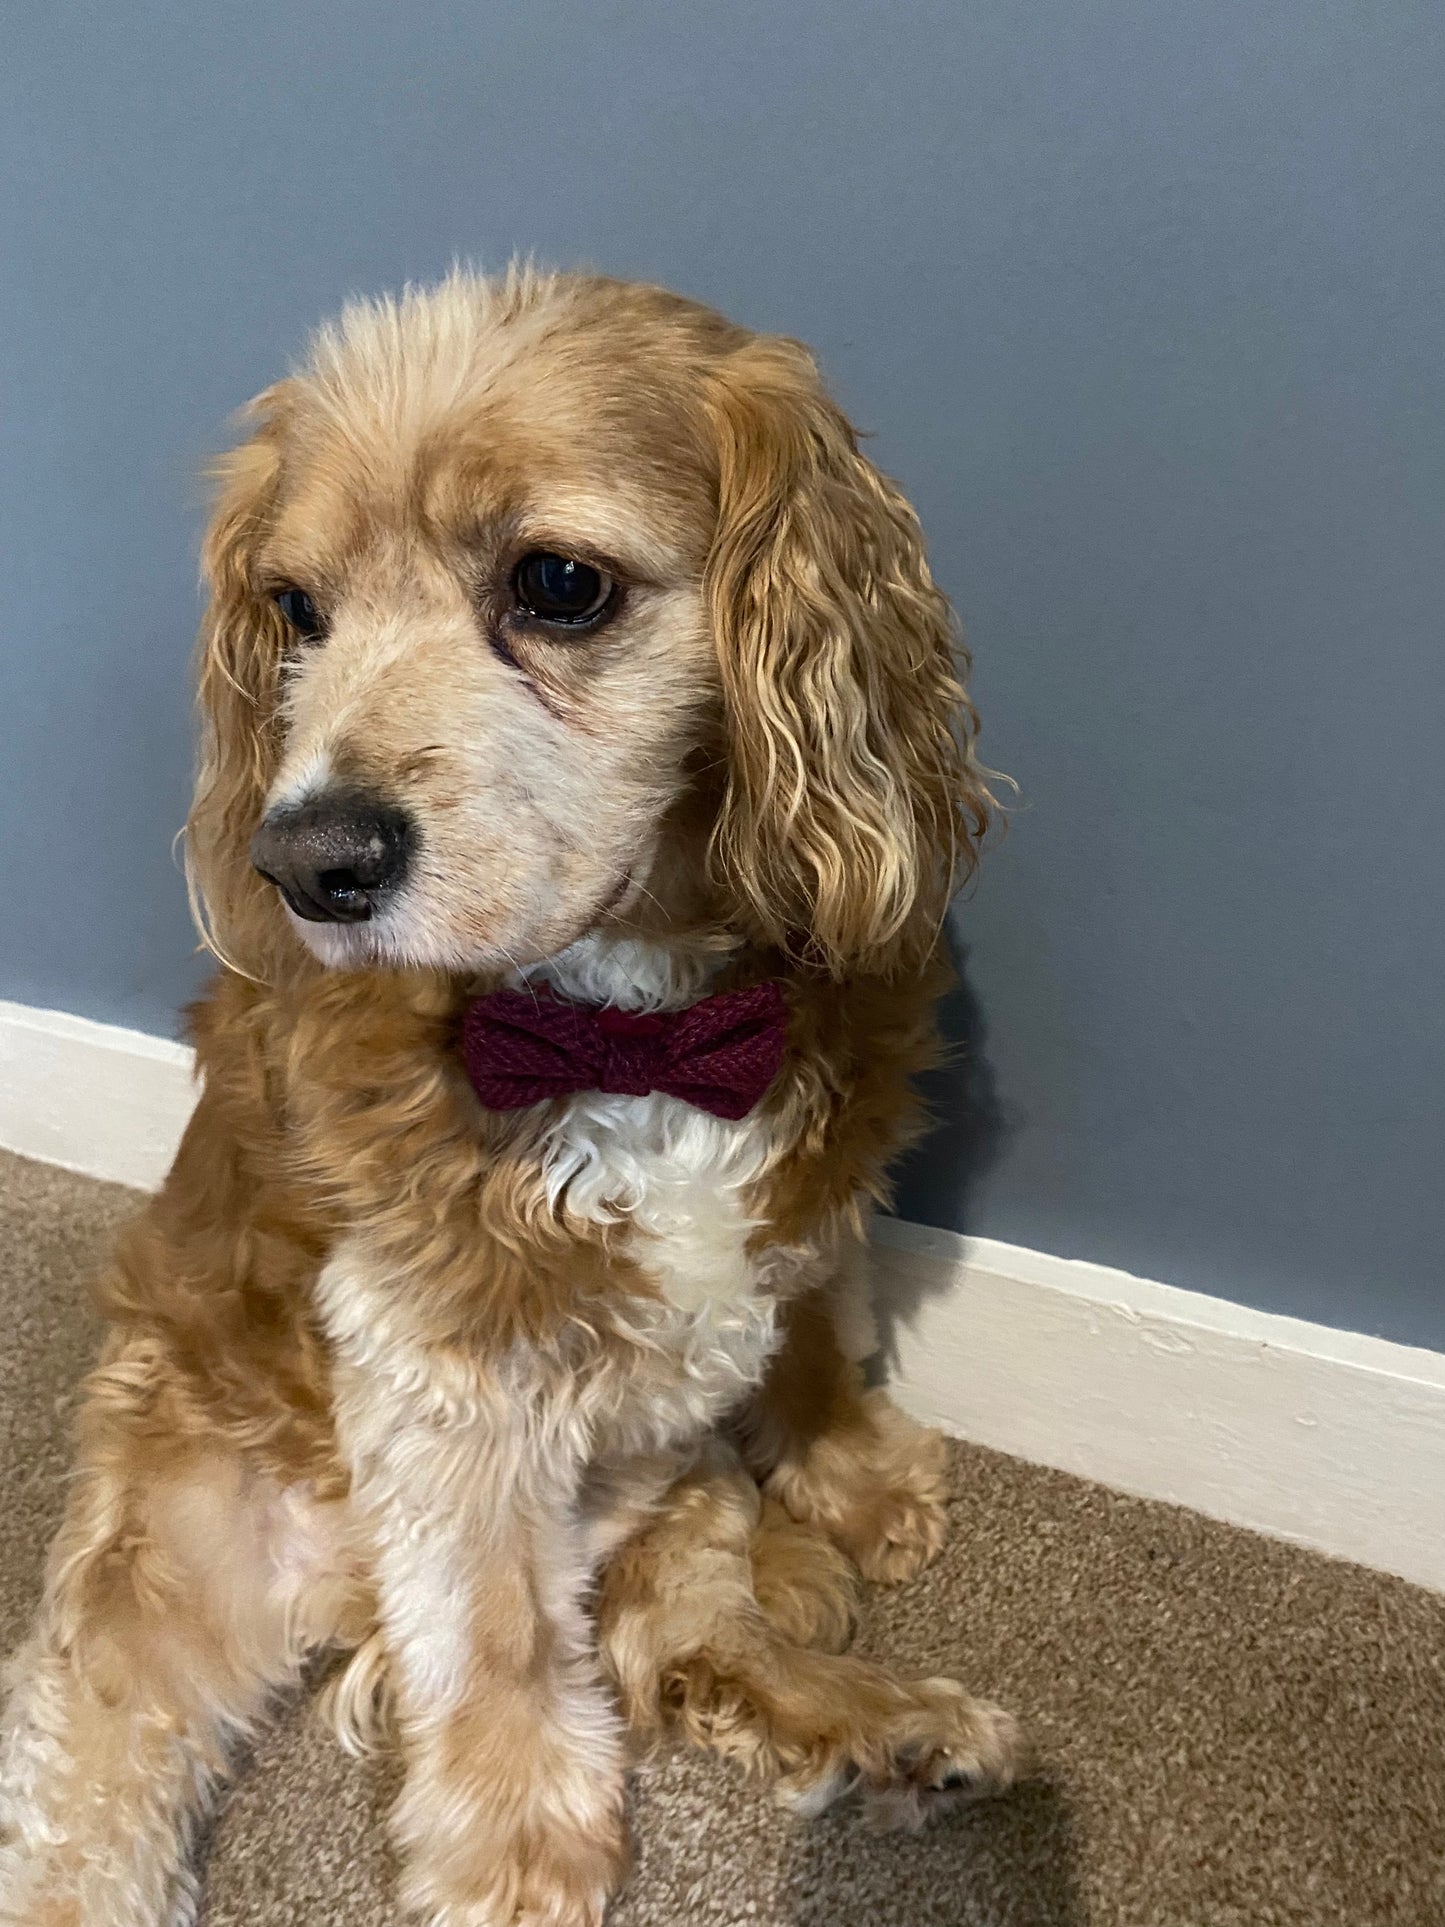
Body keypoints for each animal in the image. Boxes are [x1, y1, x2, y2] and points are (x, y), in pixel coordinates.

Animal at [0, 271, 1024, 1927]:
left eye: (557, 583)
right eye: (296, 610)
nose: (305, 861)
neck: (628, 1020)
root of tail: (338, 1598)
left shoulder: (808, 1174)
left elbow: (811, 1313)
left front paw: (853, 1475)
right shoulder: (438, 1353)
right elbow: (491, 1623)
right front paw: (516, 1845)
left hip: (673, 1483)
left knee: (690, 1648)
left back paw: (888, 1729)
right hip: (167, 1547)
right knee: (95, 1765)